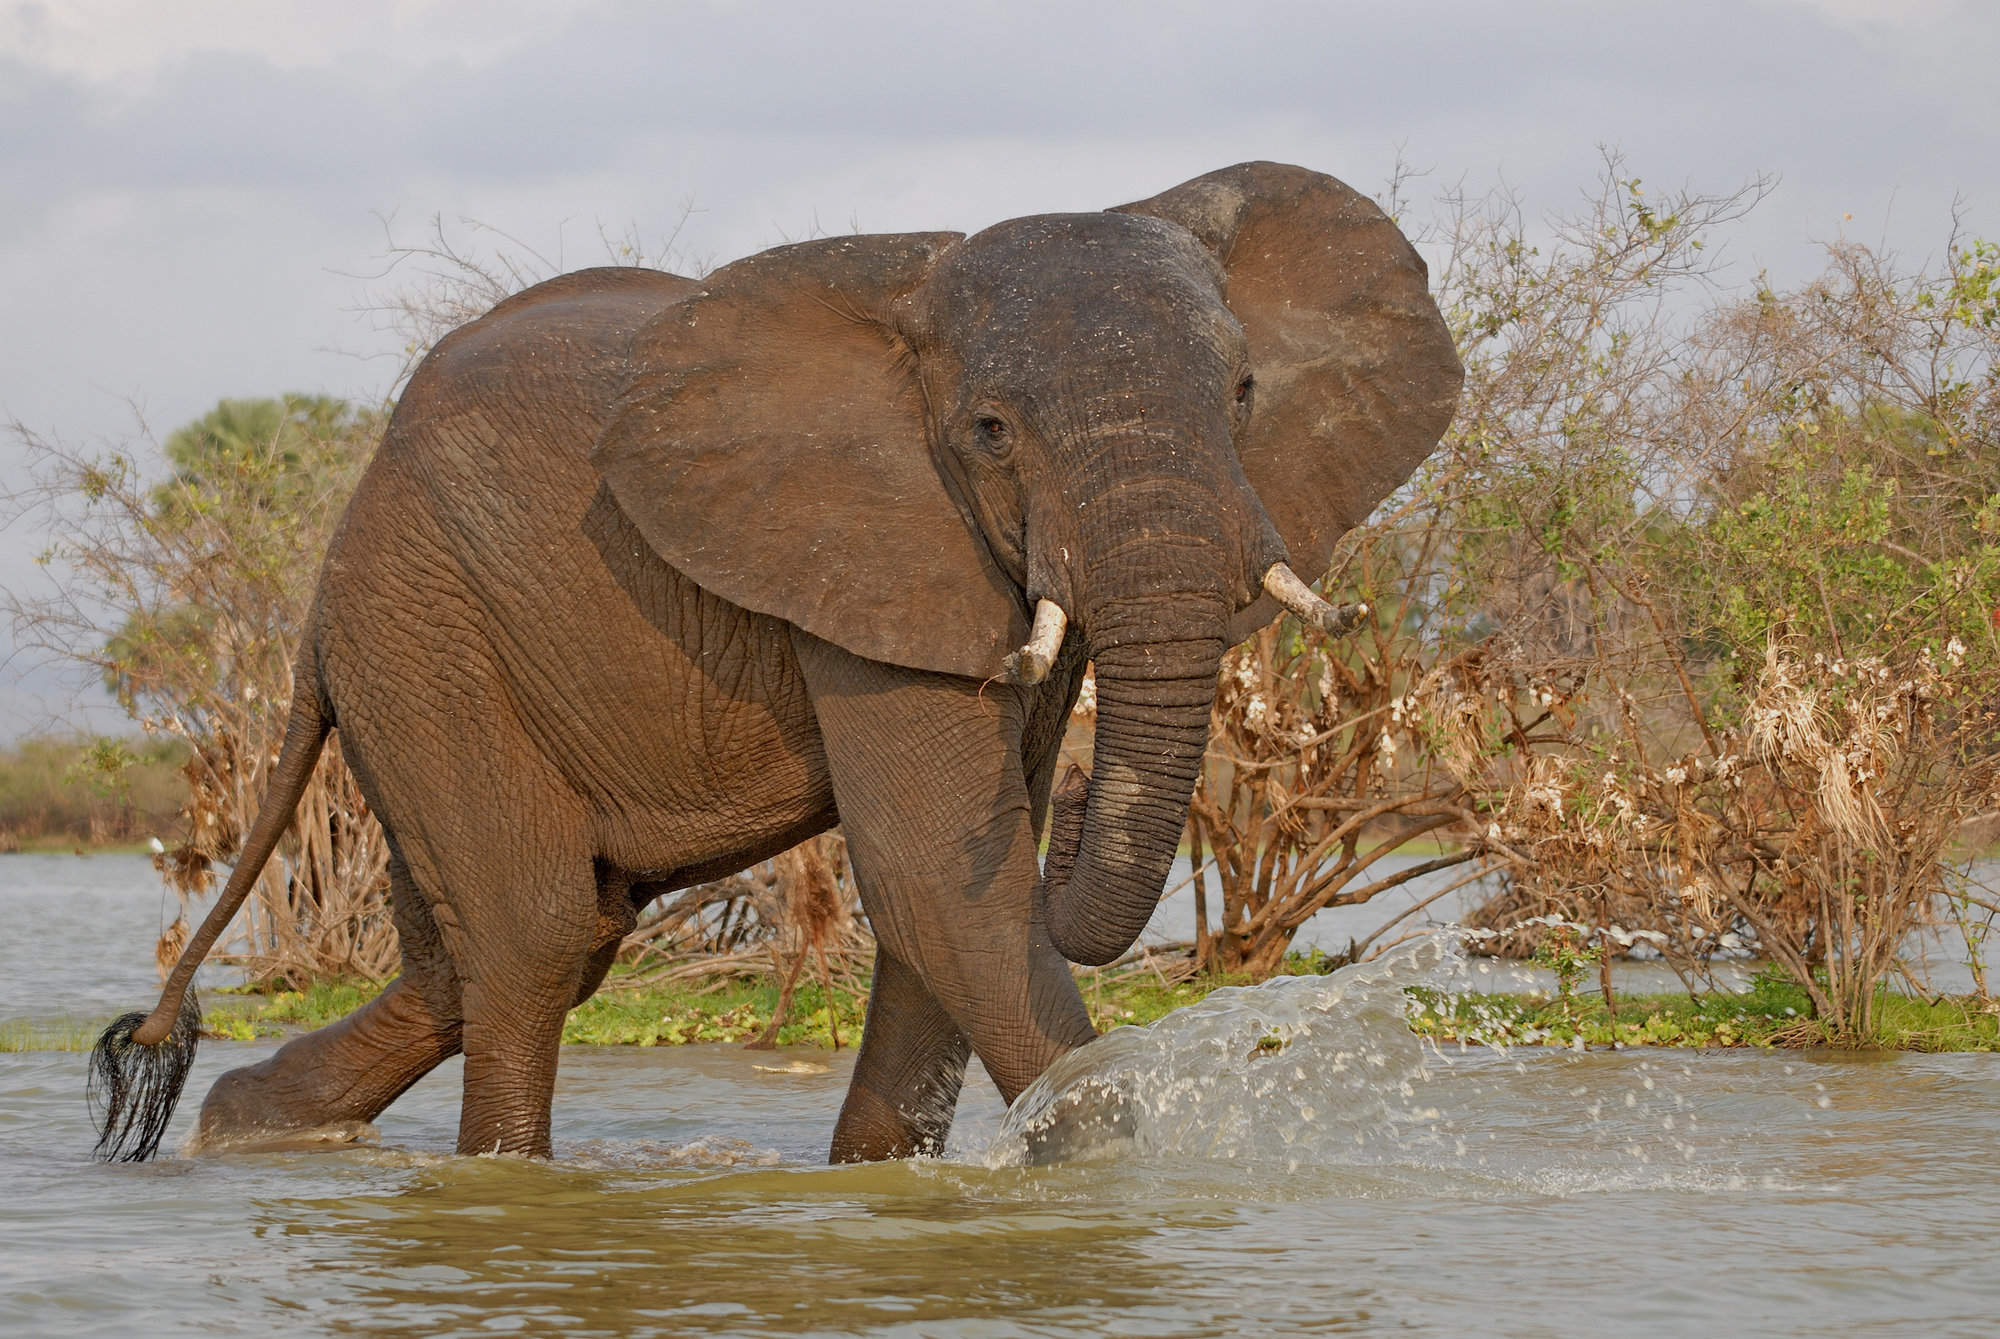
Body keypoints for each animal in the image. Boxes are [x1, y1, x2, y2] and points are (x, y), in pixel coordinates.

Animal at [86, 159, 1464, 1167]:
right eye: (989, 431)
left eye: (1241, 395)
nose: (1077, 797)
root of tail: (325, 585)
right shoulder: (868, 543)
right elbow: (940, 877)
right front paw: (1107, 1173)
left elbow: (956, 891)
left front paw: (880, 1187)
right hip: (420, 628)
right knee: (534, 935)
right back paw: (485, 1177)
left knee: (501, 948)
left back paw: (245, 1129)